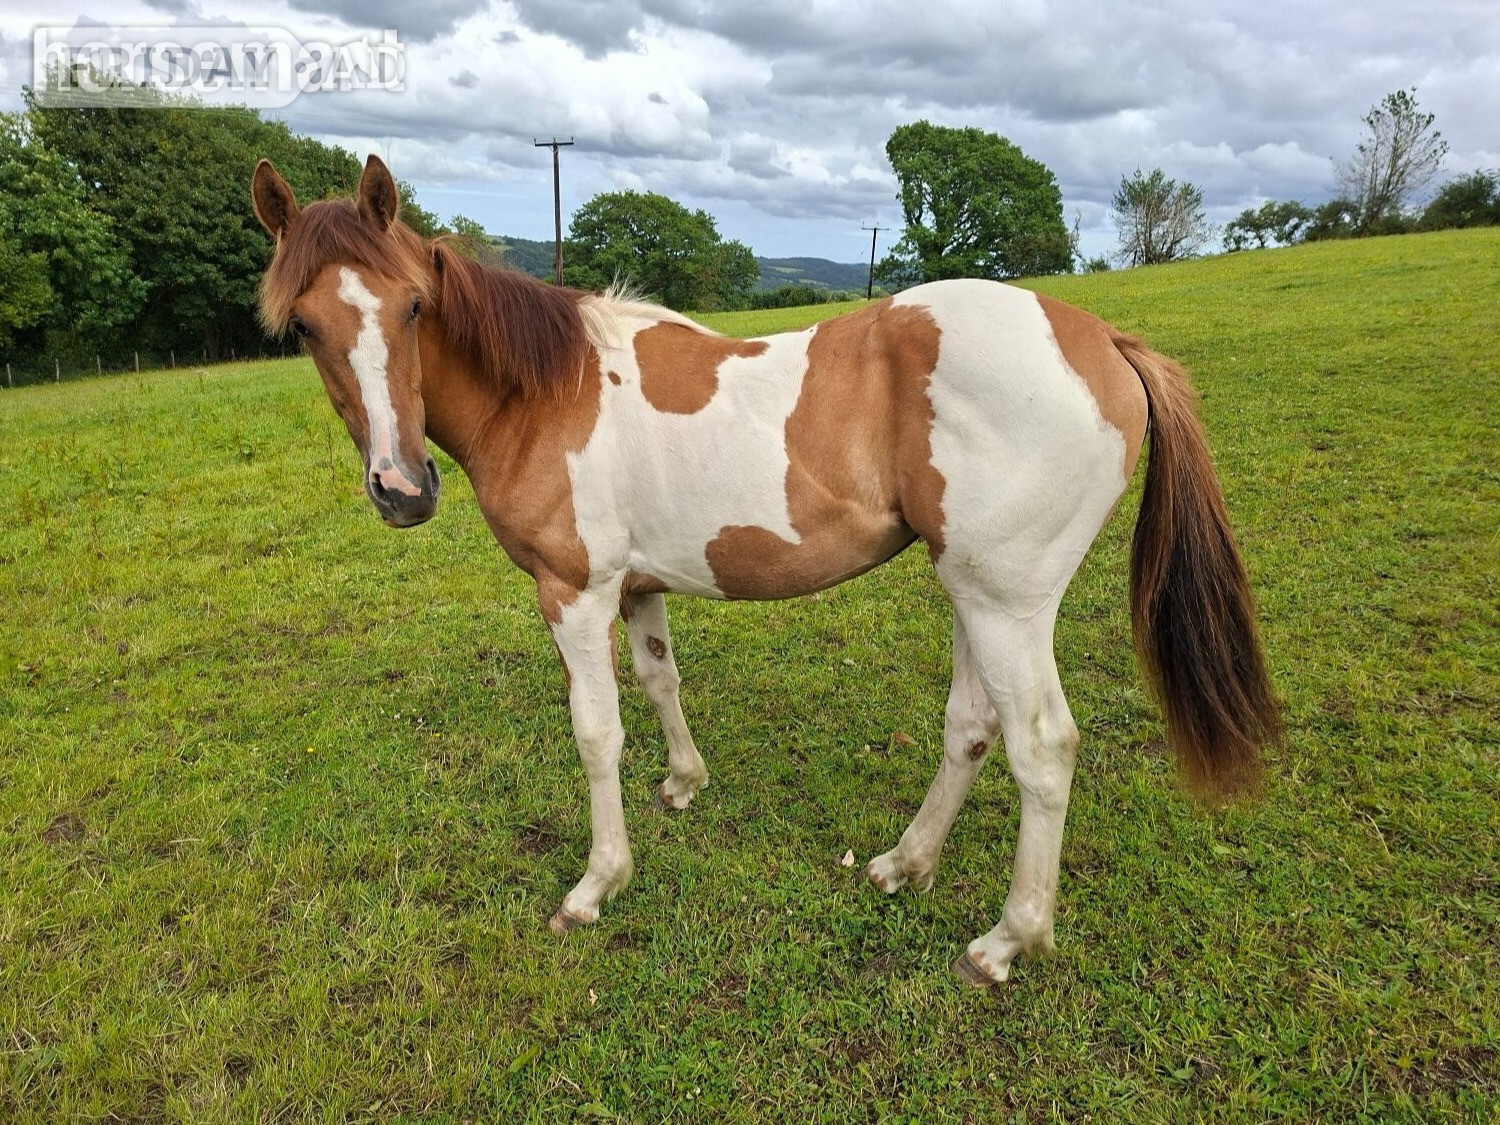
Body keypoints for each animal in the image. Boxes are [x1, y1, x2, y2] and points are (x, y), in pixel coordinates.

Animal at [251, 154, 1280, 986]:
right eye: (302, 326)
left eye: (414, 306)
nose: (401, 488)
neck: (547, 390)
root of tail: (1103, 342)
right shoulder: (639, 588)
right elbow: (660, 682)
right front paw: (683, 782)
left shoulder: (574, 592)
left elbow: (595, 732)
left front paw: (598, 882)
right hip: (970, 593)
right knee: (971, 728)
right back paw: (905, 864)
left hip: (1008, 605)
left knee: (1042, 748)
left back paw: (1006, 940)